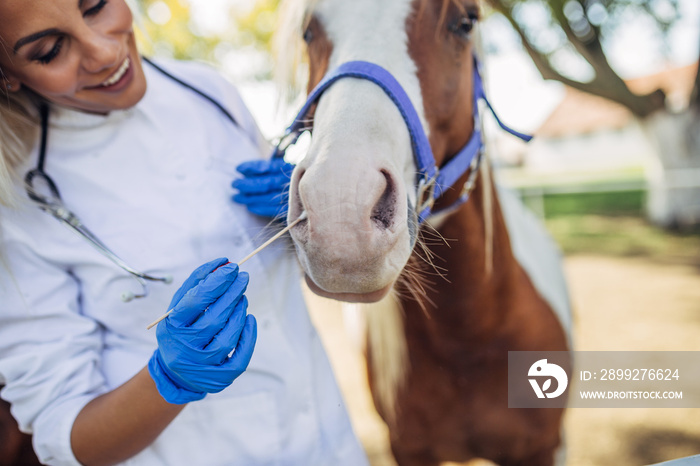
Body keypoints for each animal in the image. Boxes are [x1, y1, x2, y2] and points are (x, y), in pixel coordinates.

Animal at [274, 0, 576, 466]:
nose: (340, 208)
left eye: (465, 21)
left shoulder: (545, 447)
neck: (468, 336)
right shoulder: (408, 448)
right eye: (309, 31)